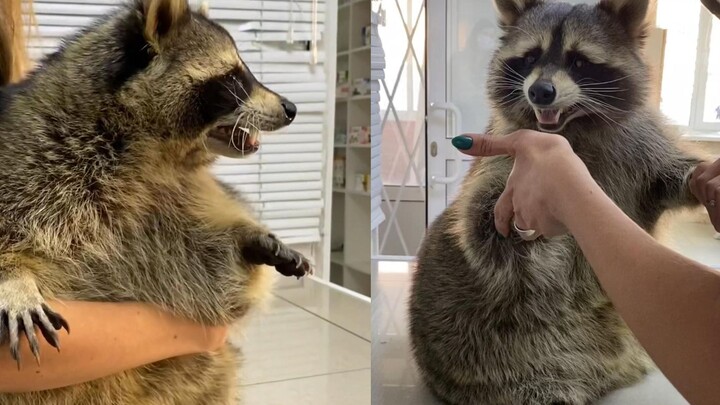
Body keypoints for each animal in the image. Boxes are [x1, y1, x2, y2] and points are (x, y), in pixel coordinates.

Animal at [0, 0, 311, 404]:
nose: (291, 108)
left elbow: (211, 262)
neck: (151, 153)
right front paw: (13, 276)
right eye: (233, 78)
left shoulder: (170, 202)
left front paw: (251, 237)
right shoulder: (32, 160)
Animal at [409, 0, 703, 404]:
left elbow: (666, 178)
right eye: (530, 57)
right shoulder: (502, 156)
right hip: (491, 359)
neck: (571, 129)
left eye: (578, 61)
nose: (540, 92)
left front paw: (696, 179)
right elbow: (478, 220)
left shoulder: (640, 147)